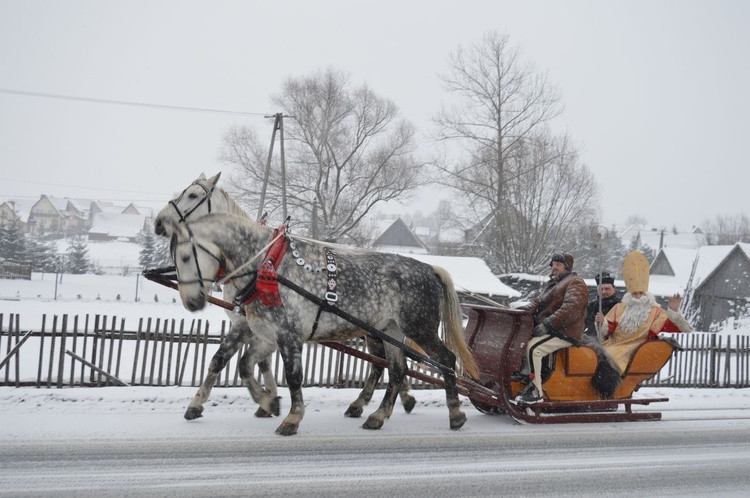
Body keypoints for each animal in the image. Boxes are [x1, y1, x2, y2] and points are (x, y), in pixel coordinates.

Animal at [154, 173, 418, 422]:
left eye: (193, 195)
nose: (157, 222)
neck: (259, 261)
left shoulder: (249, 324)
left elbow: (232, 360)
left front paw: (264, 400)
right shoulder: (255, 325)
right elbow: (239, 361)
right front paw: (264, 400)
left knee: (383, 363)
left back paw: (381, 402)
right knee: (387, 363)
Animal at [167, 214, 478, 436]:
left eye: (185, 256)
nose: (192, 302)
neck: (268, 265)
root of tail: (429, 268)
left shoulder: (288, 334)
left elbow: (292, 376)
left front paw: (291, 418)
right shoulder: (265, 334)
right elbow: (238, 363)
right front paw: (267, 402)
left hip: (418, 329)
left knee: (445, 360)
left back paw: (455, 414)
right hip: (389, 330)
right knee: (397, 370)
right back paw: (377, 416)